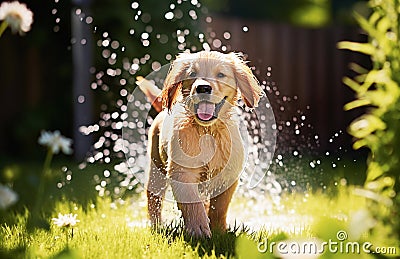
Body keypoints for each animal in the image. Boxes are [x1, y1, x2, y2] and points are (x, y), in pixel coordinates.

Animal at [139, 49, 264, 239]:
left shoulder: (228, 175)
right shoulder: (182, 172)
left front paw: (220, 232)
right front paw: (198, 229)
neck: (207, 131)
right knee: (153, 198)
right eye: (192, 74)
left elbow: (219, 207)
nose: (203, 88)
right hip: (156, 168)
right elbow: (192, 203)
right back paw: (157, 226)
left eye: (221, 75)